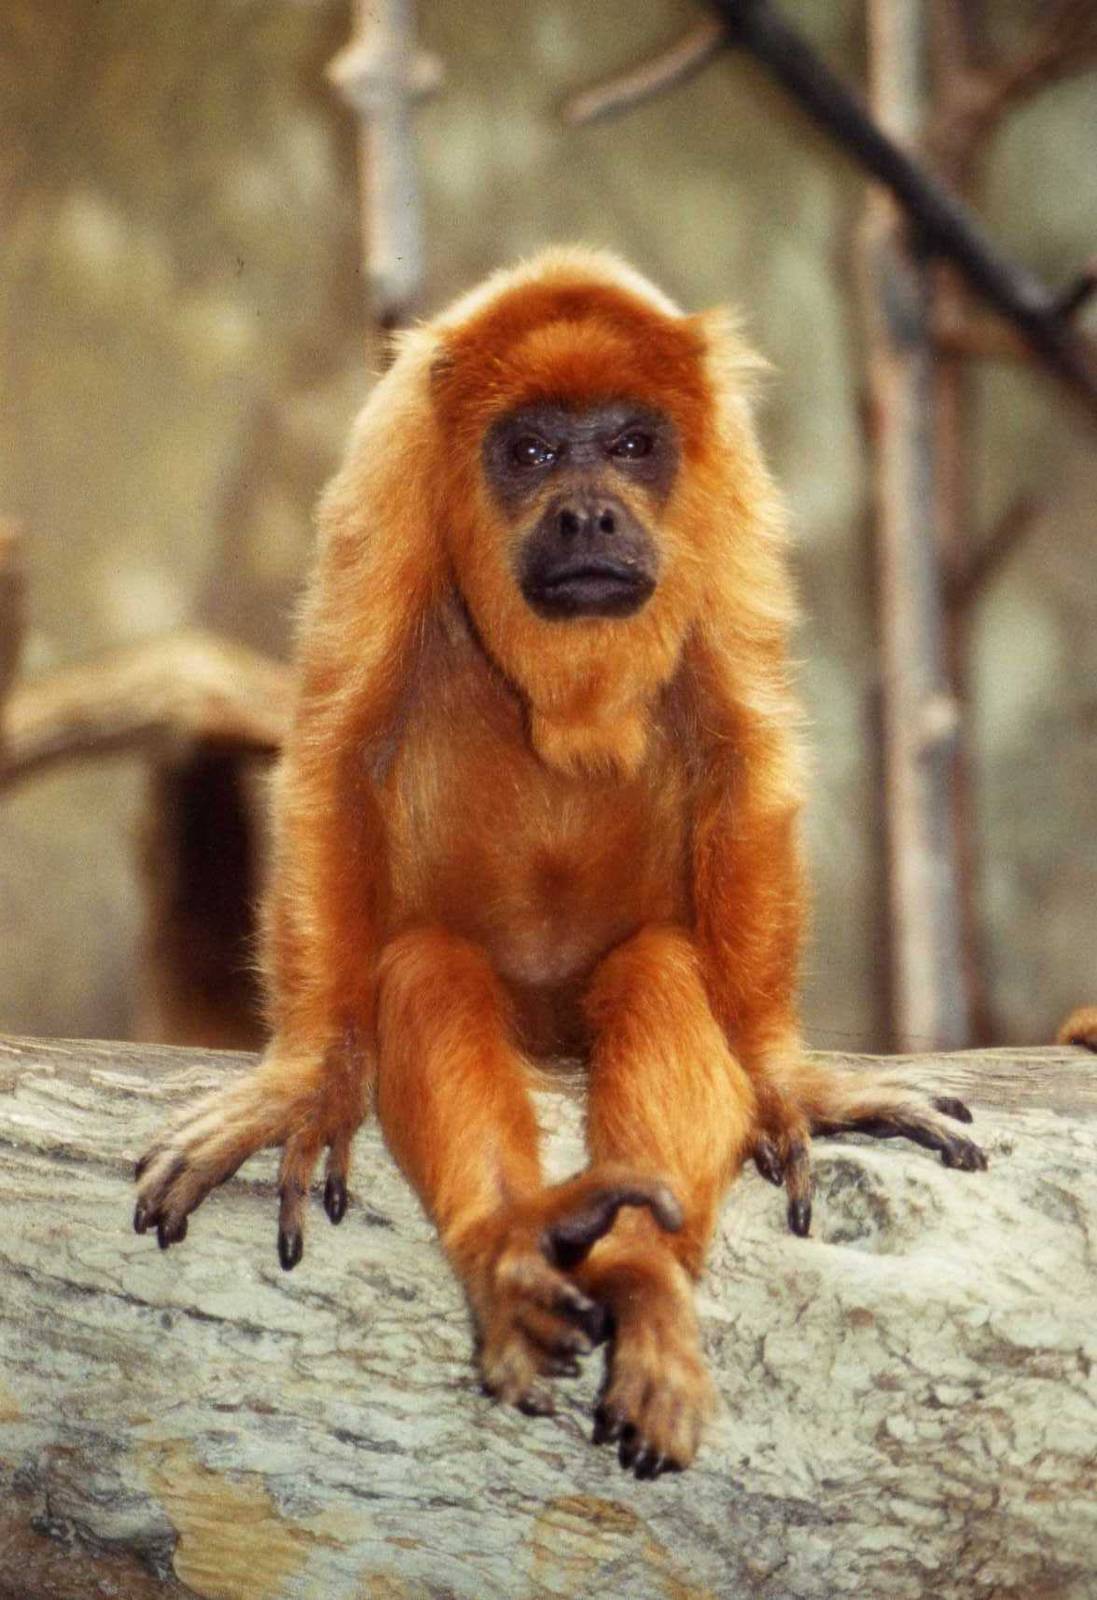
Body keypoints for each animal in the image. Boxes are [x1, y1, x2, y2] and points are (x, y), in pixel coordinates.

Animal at [133, 248, 986, 1477]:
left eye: (630, 443)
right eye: (530, 450)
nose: (588, 510)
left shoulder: (731, 483)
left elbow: (742, 748)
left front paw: (785, 1076)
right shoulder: (389, 466)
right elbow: (339, 749)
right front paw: (303, 1080)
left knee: (663, 971)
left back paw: (636, 1275)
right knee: (427, 968)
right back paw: (518, 1249)